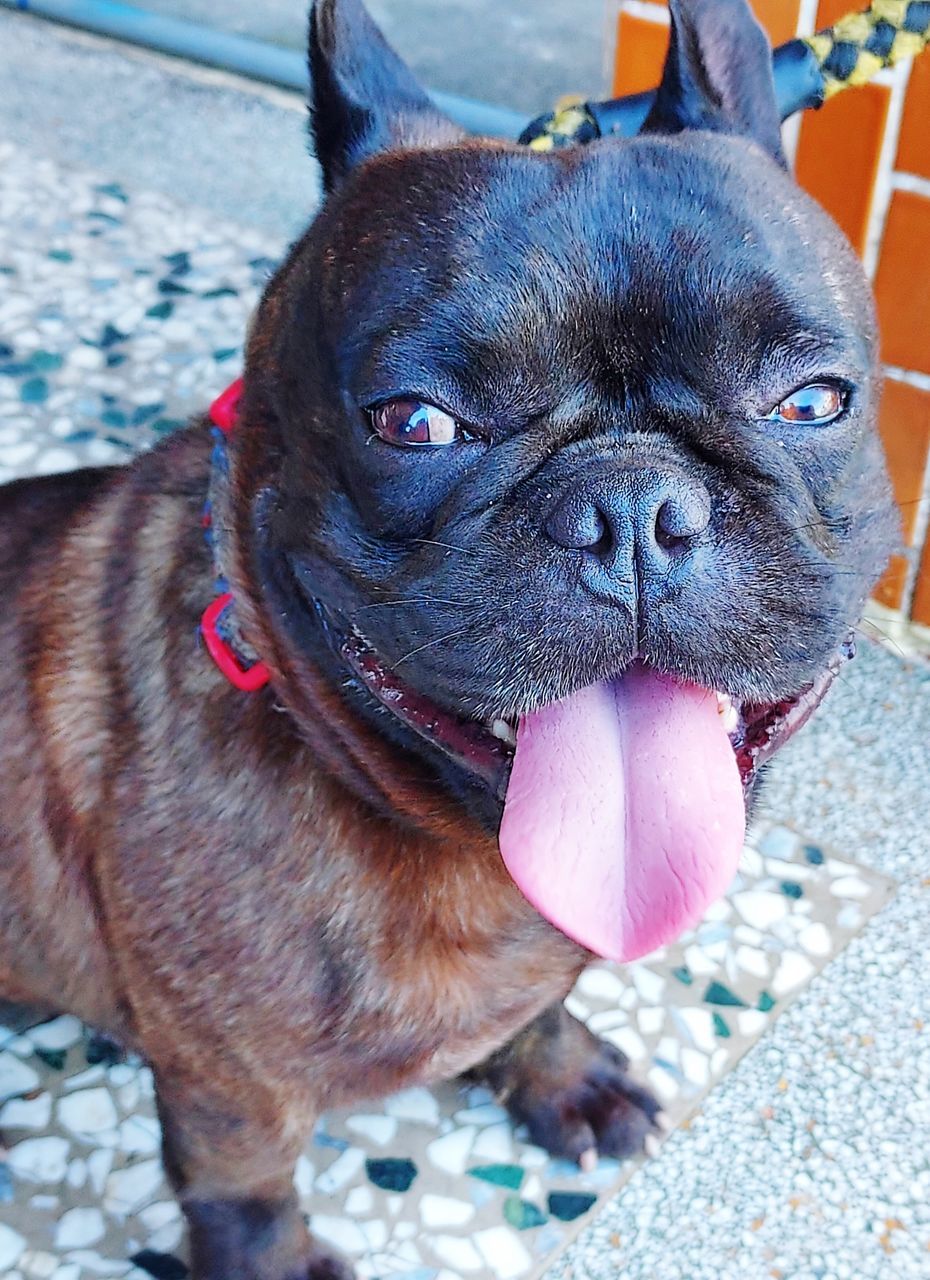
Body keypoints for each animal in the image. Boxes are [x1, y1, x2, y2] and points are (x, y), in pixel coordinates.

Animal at [0, 2, 895, 1280]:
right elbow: (245, 1193)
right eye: (414, 423)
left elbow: (546, 1007)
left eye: (814, 400)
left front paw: (563, 1079)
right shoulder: (228, 1092)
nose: (632, 507)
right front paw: (274, 1263)